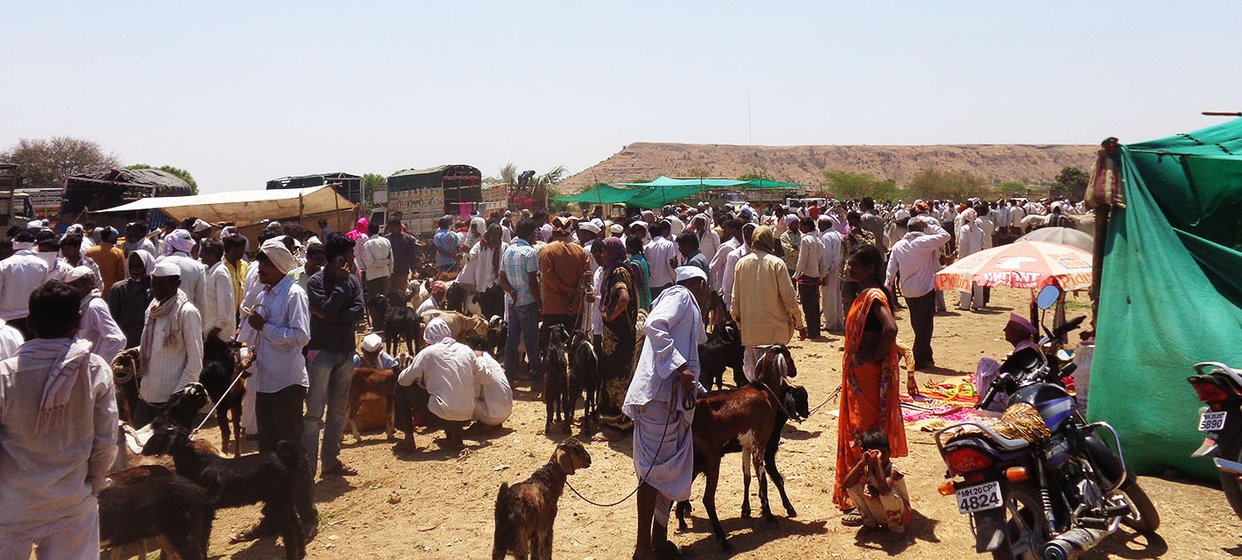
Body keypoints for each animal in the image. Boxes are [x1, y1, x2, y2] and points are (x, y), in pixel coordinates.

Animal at [142, 422, 308, 560]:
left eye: (159, 436)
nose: (143, 450)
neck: (197, 463)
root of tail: (286, 459)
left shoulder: (205, 510)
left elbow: (202, 536)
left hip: (279, 504)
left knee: (289, 533)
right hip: (286, 502)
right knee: (298, 525)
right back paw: (301, 553)